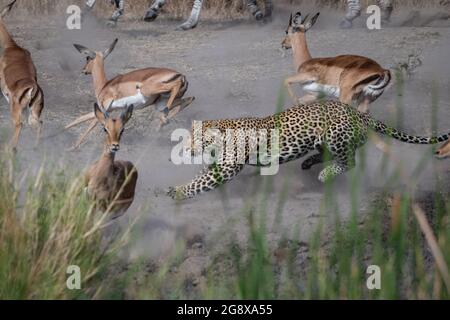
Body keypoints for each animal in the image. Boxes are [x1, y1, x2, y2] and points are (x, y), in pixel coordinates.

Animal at [167, 100, 448, 200]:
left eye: (197, 139)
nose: (187, 149)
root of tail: (359, 113)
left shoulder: (226, 168)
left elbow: (201, 182)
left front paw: (178, 192)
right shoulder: (219, 164)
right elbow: (201, 177)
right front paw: (178, 188)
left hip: (336, 136)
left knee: (350, 161)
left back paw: (324, 174)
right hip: (324, 140)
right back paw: (308, 164)